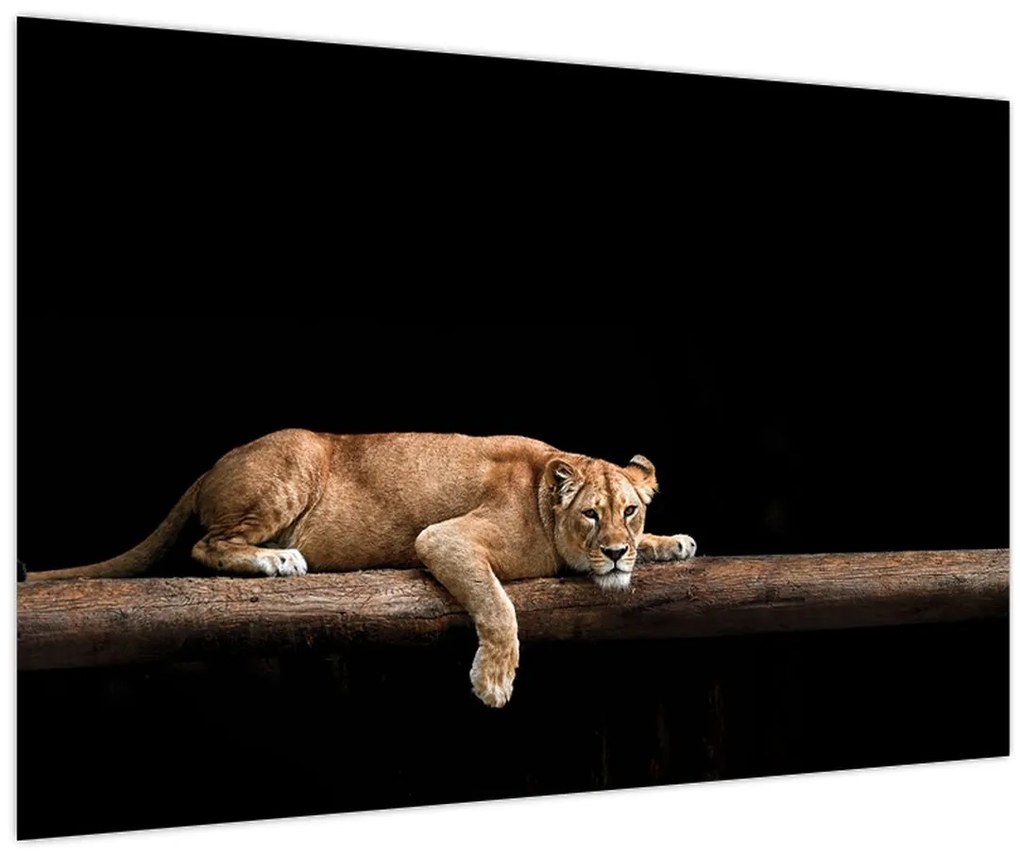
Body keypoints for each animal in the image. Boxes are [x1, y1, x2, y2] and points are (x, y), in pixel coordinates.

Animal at [23, 430, 697, 707]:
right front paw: (494, 682)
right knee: (205, 548)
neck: (542, 493)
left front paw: (672, 542)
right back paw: (278, 557)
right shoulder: (443, 539)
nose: (616, 551)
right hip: (292, 466)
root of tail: (213, 464)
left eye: (630, 511)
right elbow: (498, 605)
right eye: (590, 515)